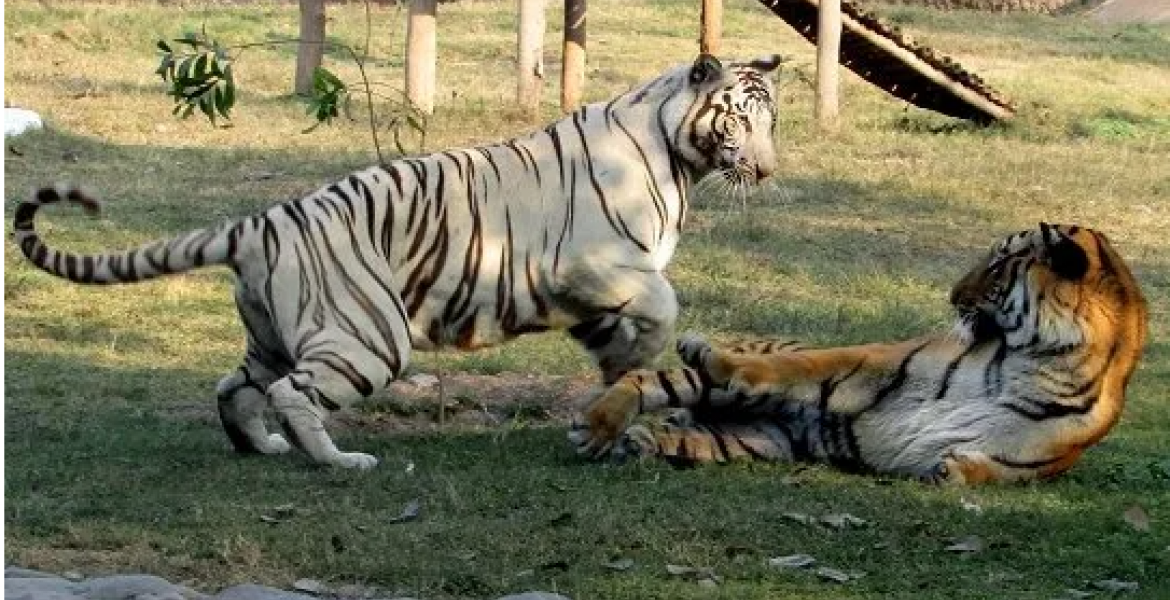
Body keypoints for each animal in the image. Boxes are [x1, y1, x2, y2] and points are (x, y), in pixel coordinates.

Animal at [12, 54, 784, 469]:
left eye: (771, 120)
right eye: (740, 120)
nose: (770, 170)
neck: (679, 155)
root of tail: (262, 220)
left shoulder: (586, 294)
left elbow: (621, 343)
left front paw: (619, 388)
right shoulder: (586, 264)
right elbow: (663, 302)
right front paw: (638, 363)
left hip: (274, 333)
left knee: (234, 388)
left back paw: (262, 447)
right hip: (369, 336)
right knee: (295, 392)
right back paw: (338, 461)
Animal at [570, 223, 1149, 484]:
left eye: (997, 265)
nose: (951, 296)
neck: (1037, 363)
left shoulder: (1034, 464)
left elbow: (990, 470)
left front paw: (952, 470)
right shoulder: (882, 362)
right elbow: (797, 367)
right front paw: (722, 359)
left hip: (762, 440)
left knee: (693, 437)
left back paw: (639, 442)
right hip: (713, 396)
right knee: (648, 381)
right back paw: (601, 424)